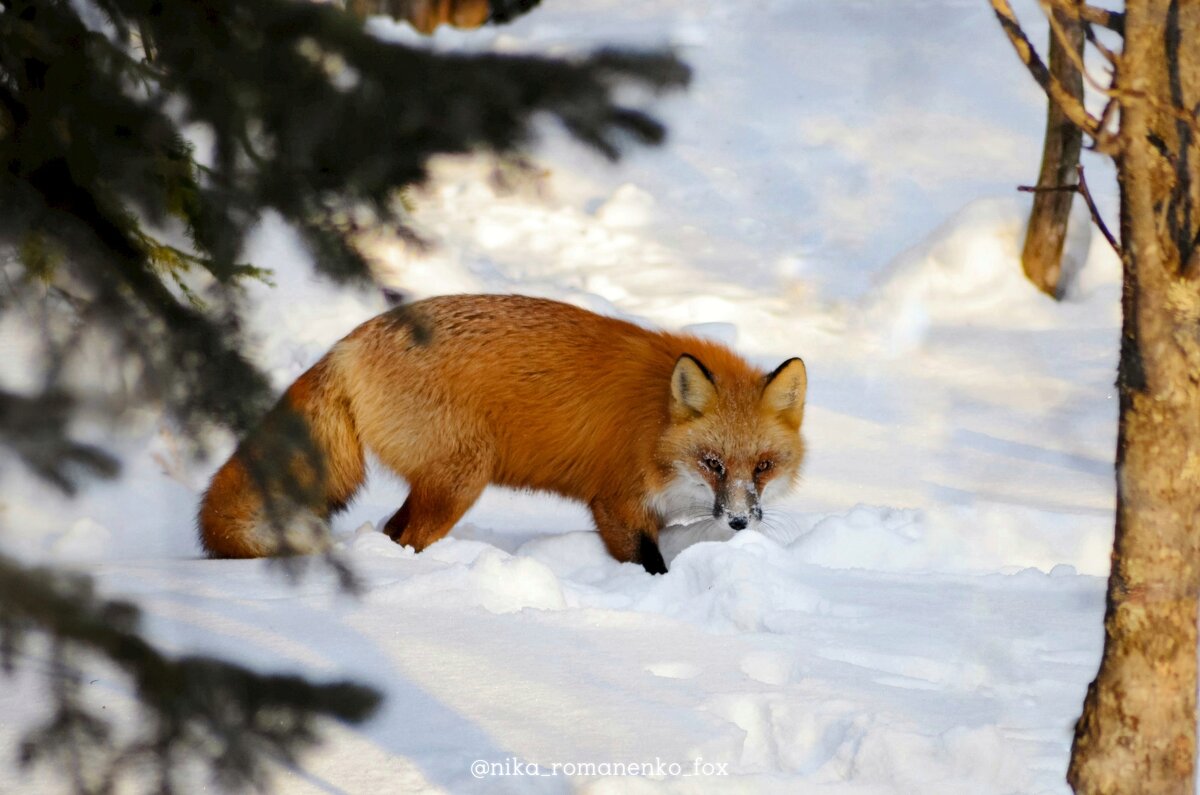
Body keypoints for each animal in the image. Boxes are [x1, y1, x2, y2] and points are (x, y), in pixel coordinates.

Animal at [196, 293, 806, 574]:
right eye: (713, 463)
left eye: (763, 466)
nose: (739, 522)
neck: (656, 427)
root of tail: (349, 341)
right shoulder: (616, 504)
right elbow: (647, 567)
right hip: (461, 480)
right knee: (406, 538)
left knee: (391, 531)